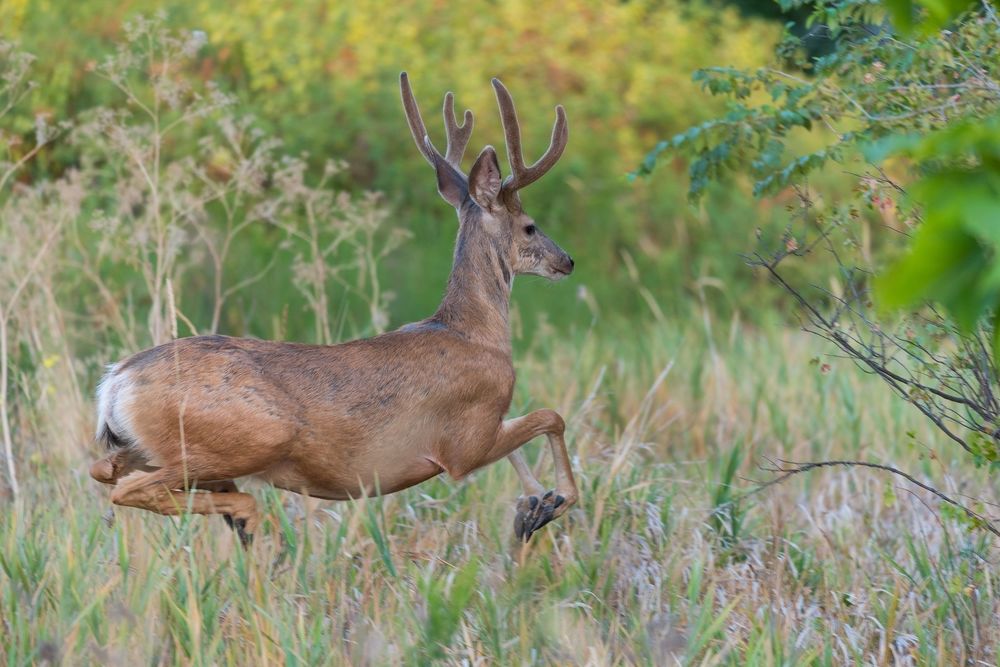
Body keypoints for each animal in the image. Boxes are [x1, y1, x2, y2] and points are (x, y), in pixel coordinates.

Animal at [88, 73, 578, 546]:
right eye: (530, 226)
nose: (568, 260)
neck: (474, 332)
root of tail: (117, 381)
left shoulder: (483, 427)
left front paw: (533, 506)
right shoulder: (463, 441)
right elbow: (551, 417)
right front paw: (551, 503)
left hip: (144, 445)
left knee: (102, 471)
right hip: (245, 439)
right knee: (127, 488)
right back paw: (247, 515)